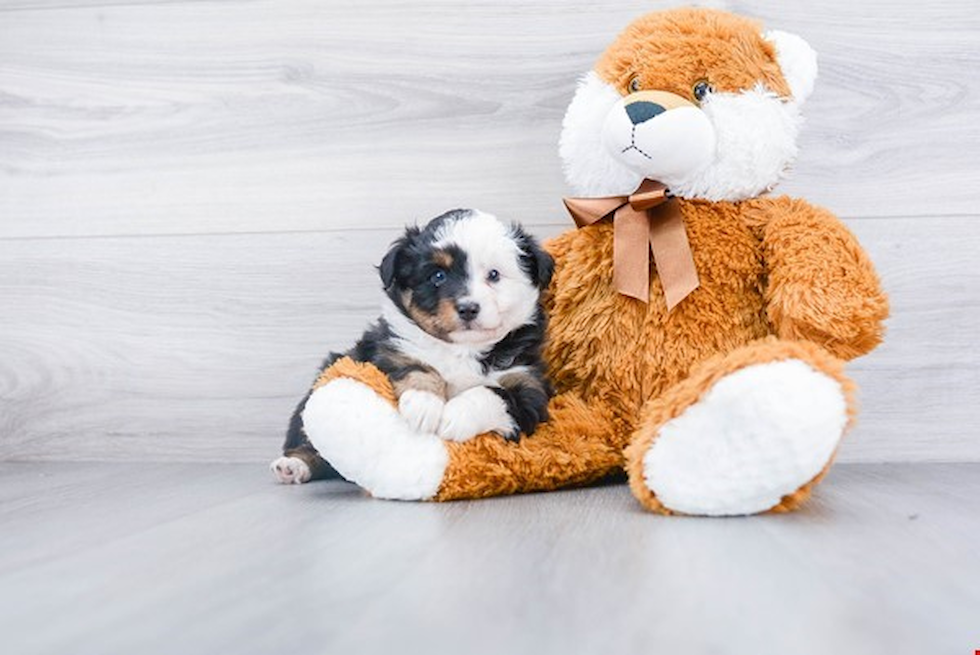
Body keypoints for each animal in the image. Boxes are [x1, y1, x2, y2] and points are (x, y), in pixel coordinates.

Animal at [272, 208, 556, 484]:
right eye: (438, 276)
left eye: (494, 275)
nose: (468, 308)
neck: (462, 349)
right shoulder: (386, 350)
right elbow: (416, 366)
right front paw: (424, 404)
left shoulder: (529, 386)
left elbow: (493, 393)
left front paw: (456, 415)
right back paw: (293, 466)